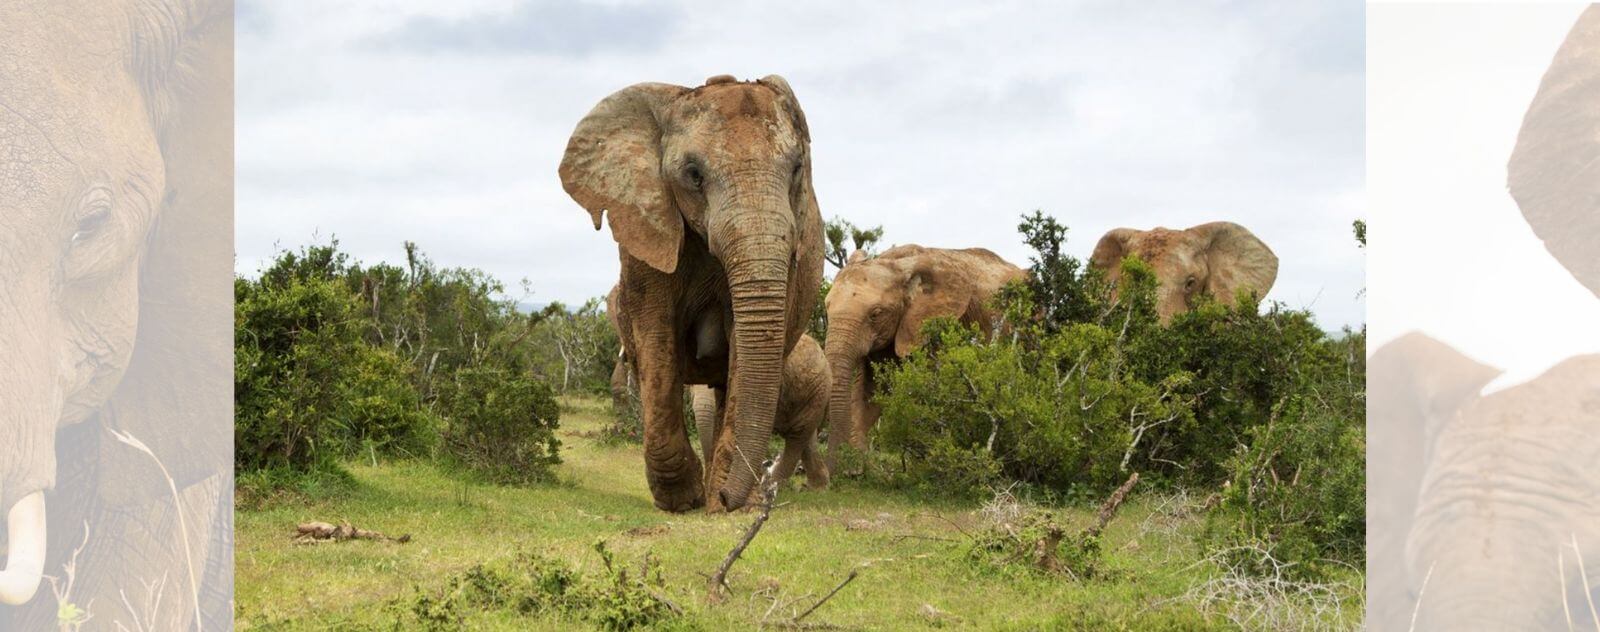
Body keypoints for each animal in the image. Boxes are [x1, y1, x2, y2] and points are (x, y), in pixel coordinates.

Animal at [691, 334, 832, 492]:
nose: (706, 483)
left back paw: (771, 486)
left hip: (817, 392)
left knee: (797, 436)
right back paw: (817, 488)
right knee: (806, 437)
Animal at [825, 244, 1024, 467]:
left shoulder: (938, 324)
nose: (829, 471)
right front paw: (857, 469)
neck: (898, 264)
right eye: (826, 307)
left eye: (875, 314)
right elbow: (870, 391)